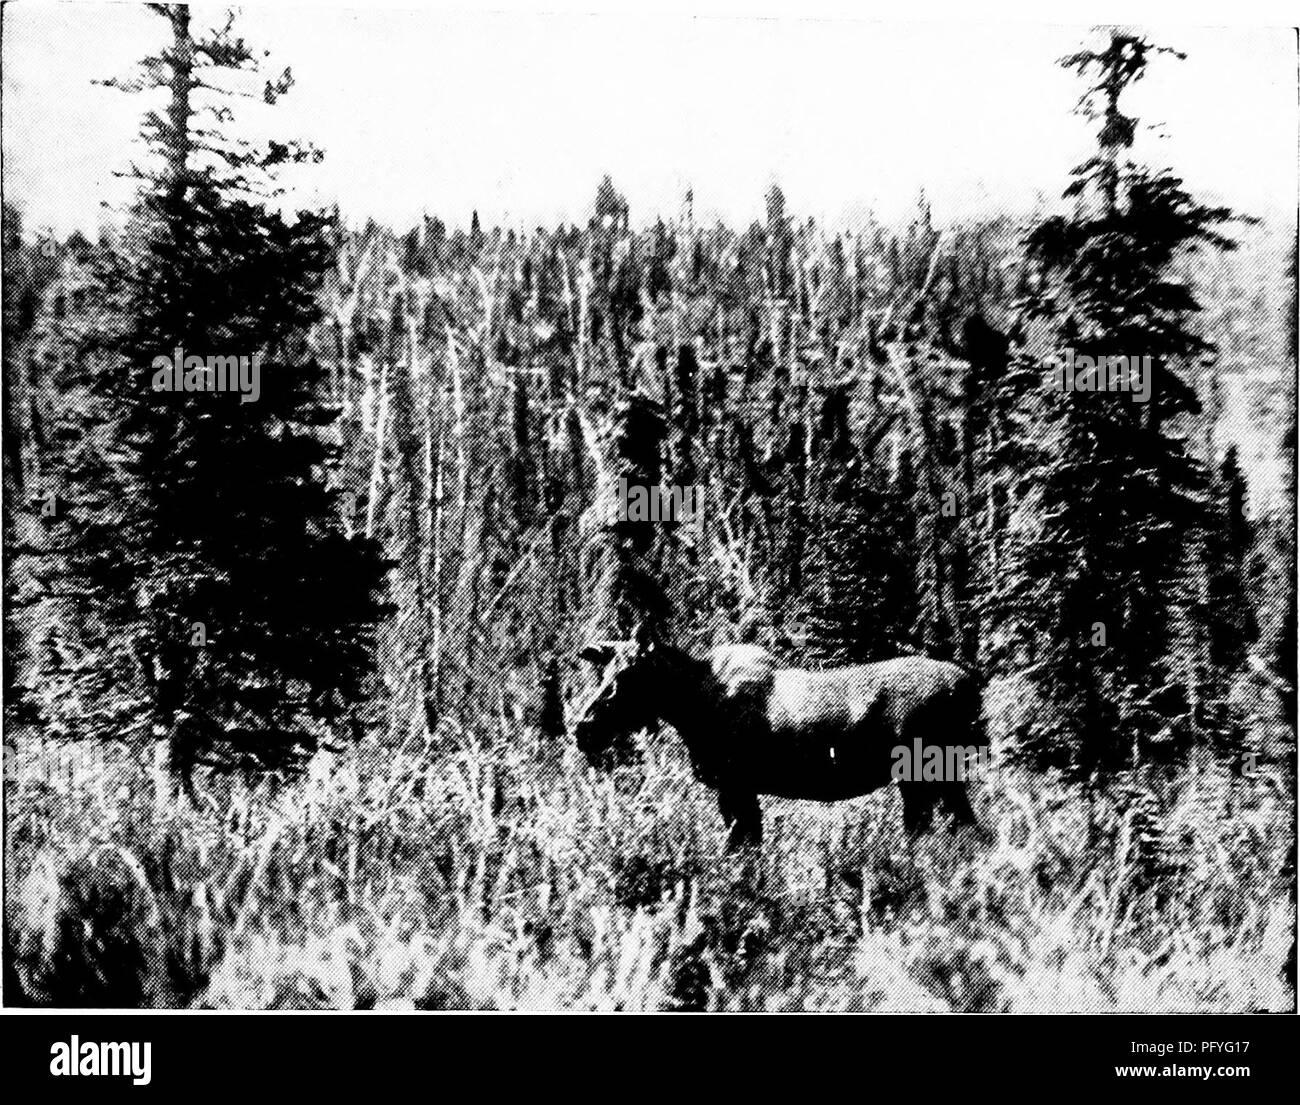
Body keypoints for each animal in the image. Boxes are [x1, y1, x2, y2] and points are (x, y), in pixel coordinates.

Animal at [577, 629, 982, 842]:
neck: (691, 709)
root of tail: (969, 682)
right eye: (603, 673)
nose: (584, 728)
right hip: (941, 776)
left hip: (920, 775)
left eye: (629, 675)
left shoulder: (736, 786)